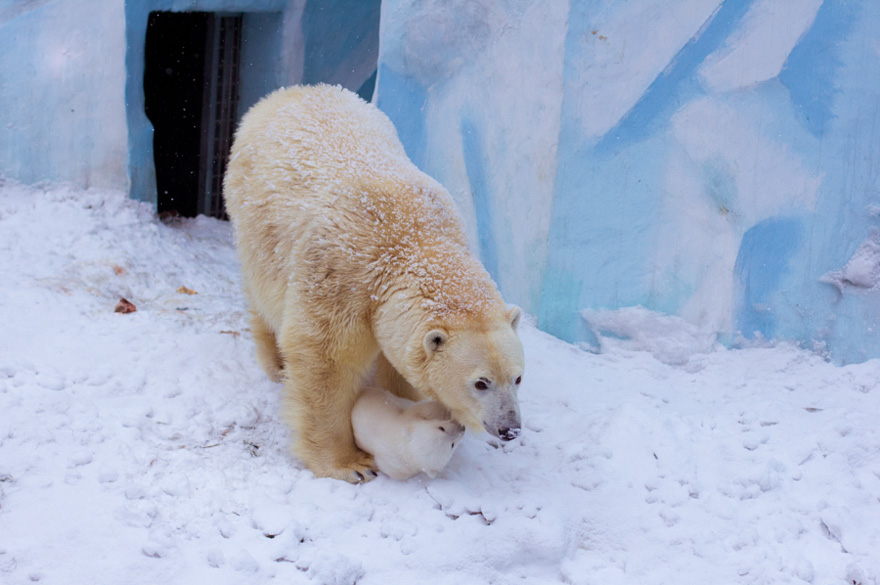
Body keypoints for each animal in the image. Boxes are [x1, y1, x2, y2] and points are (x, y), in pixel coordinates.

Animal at [223, 84, 524, 483]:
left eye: (517, 378)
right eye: (480, 382)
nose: (510, 428)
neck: (413, 237)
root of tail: (288, 92)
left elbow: (397, 364)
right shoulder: (341, 275)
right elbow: (326, 359)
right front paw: (350, 464)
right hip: (257, 223)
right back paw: (276, 364)